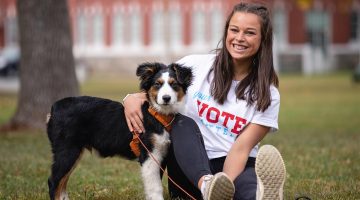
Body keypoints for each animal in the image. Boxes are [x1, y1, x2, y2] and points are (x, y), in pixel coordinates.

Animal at [47, 62, 194, 200]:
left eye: (174, 84)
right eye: (157, 84)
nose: (166, 98)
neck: (158, 115)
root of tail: (54, 108)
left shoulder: (161, 154)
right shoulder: (149, 154)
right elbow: (155, 186)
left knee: (62, 182)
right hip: (67, 150)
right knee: (54, 181)